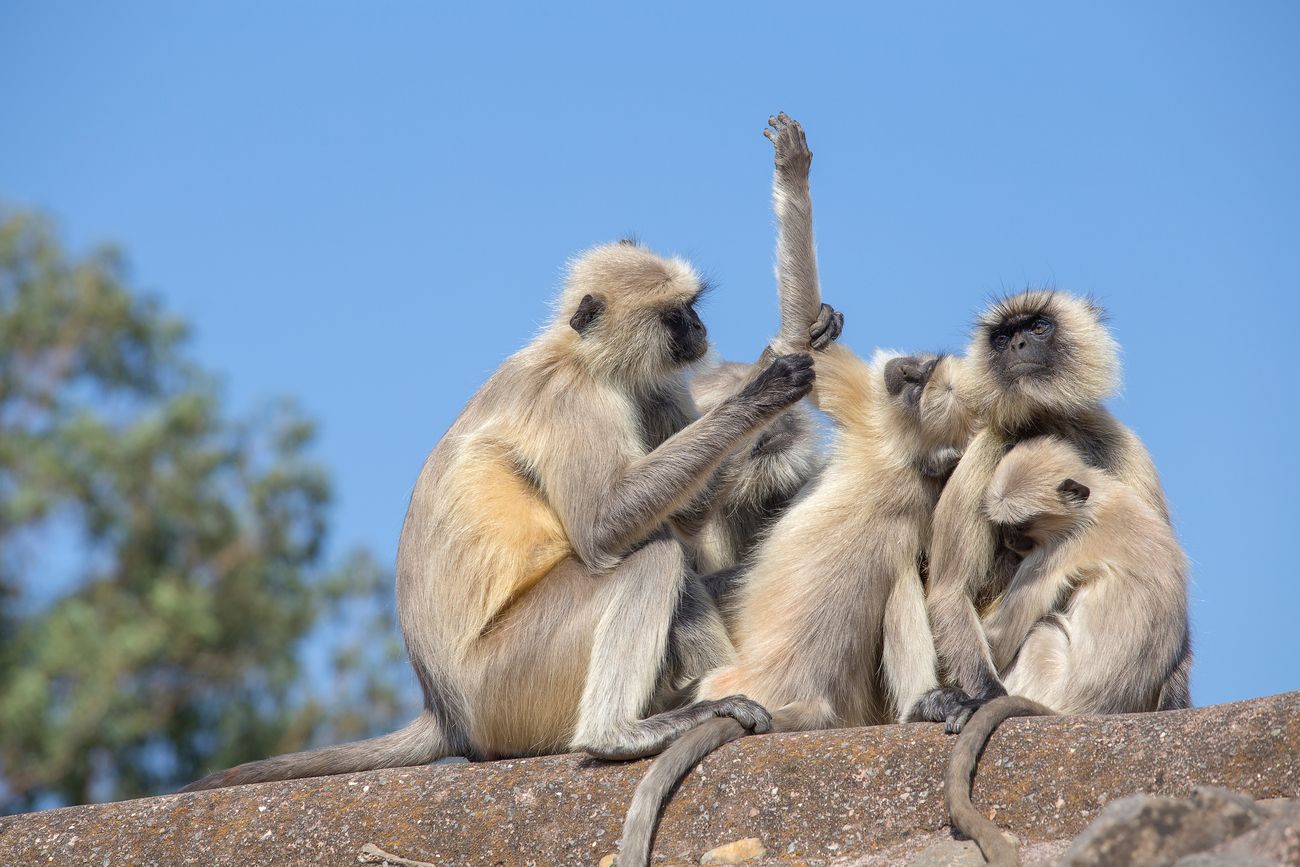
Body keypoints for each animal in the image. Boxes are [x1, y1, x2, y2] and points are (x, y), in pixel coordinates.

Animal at [179, 239, 821, 795]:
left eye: (691, 308)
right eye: (673, 316)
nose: (697, 329)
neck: (581, 358)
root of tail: (445, 708)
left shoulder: (645, 391)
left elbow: (679, 510)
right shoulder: (571, 398)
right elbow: (604, 527)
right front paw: (763, 389)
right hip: (510, 679)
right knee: (652, 555)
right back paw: (618, 736)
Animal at [616, 113, 977, 867]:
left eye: (918, 382)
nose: (907, 367)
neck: (906, 458)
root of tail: (800, 694)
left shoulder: (870, 419)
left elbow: (798, 317)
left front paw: (792, 167)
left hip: (724, 679)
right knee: (903, 577)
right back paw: (930, 705)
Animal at [904, 289, 1190, 733]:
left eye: (1038, 326)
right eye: (1003, 337)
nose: (1019, 345)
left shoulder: (1118, 441)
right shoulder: (988, 448)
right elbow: (951, 591)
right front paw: (985, 698)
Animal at [946, 441, 1190, 867]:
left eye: (1020, 527)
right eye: (1004, 528)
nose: (1009, 543)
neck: (1095, 506)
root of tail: (1086, 709)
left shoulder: (1055, 552)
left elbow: (1000, 638)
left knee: (1043, 629)